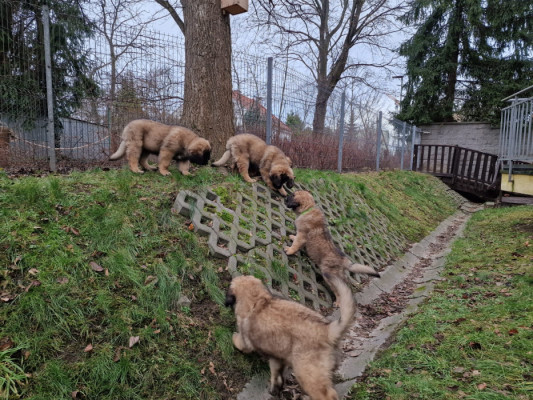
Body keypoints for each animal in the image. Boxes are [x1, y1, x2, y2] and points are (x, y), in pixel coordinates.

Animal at [224, 276, 354, 400]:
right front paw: (275, 389)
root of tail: (327, 330)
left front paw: (233, 336)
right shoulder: (277, 357)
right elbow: (277, 376)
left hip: (308, 375)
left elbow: (238, 342)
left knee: (328, 395)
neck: (258, 300)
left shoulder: (246, 341)